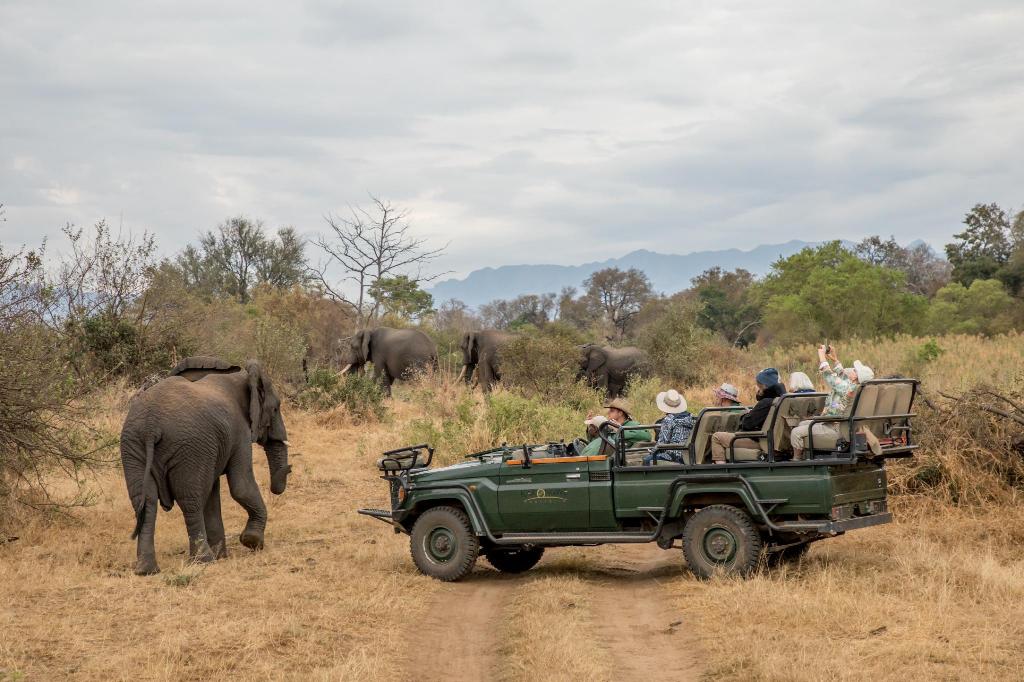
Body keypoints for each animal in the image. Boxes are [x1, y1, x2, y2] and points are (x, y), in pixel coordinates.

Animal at [122, 356, 292, 573]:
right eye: (276, 408)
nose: (290, 469)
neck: (242, 377)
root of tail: (151, 426)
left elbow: (213, 493)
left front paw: (223, 556)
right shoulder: (239, 433)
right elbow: (241, 487)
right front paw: (251, 541)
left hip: (134, 447)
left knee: (145, 502)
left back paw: (147, 570)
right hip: (187, 446)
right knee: (191, 501)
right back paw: (204, 560)